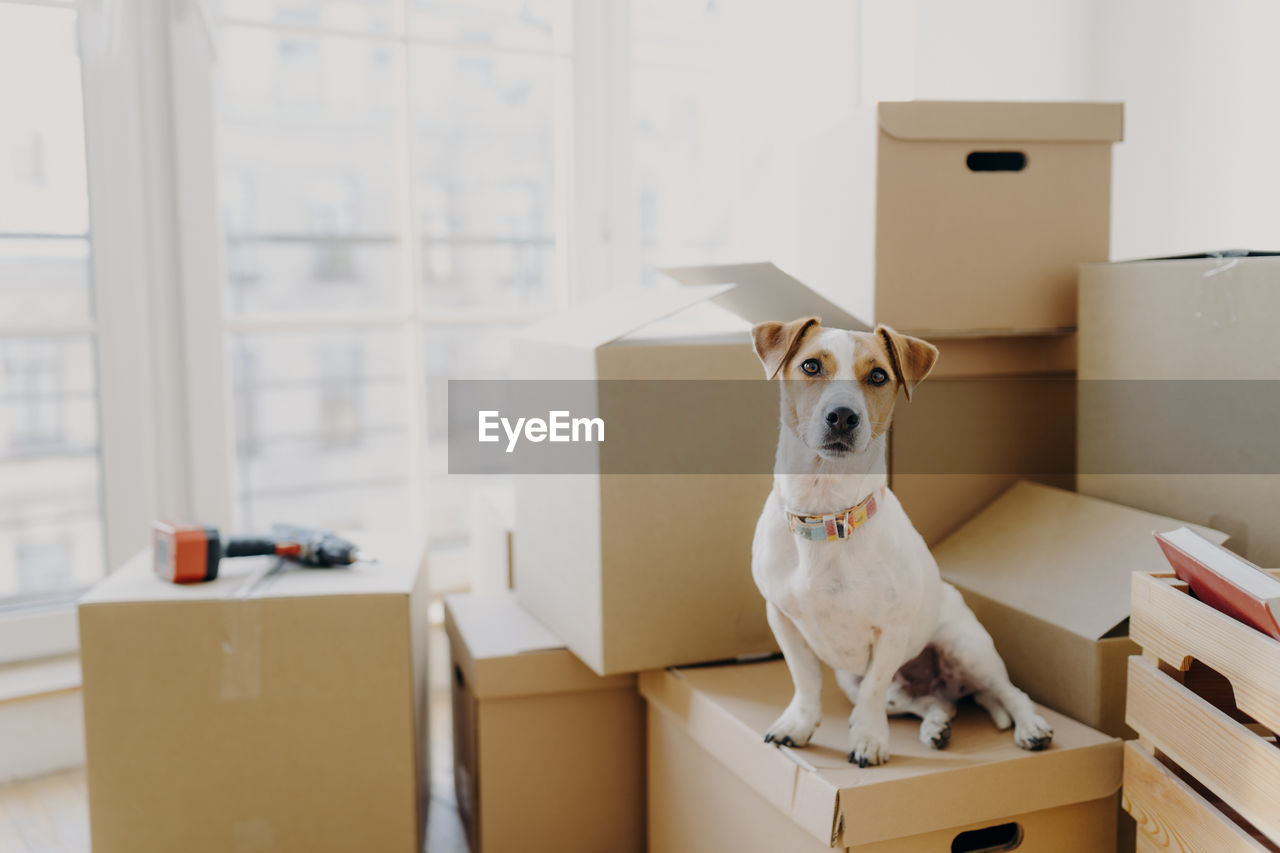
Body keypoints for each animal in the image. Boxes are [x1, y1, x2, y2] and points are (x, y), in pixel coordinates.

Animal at [747, 313, 1049, 763]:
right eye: (811, 366)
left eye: (877, 375)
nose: (842, 415)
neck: (827, 517)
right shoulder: (782, 618)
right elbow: (805, 679)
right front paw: (799, 723)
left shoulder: (891, 633)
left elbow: (872, 691)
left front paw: (869, 739)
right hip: (868, 683)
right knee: (934, 702)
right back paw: (937, 726)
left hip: (968, 649)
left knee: (1011, 693)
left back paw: (1031, 727)